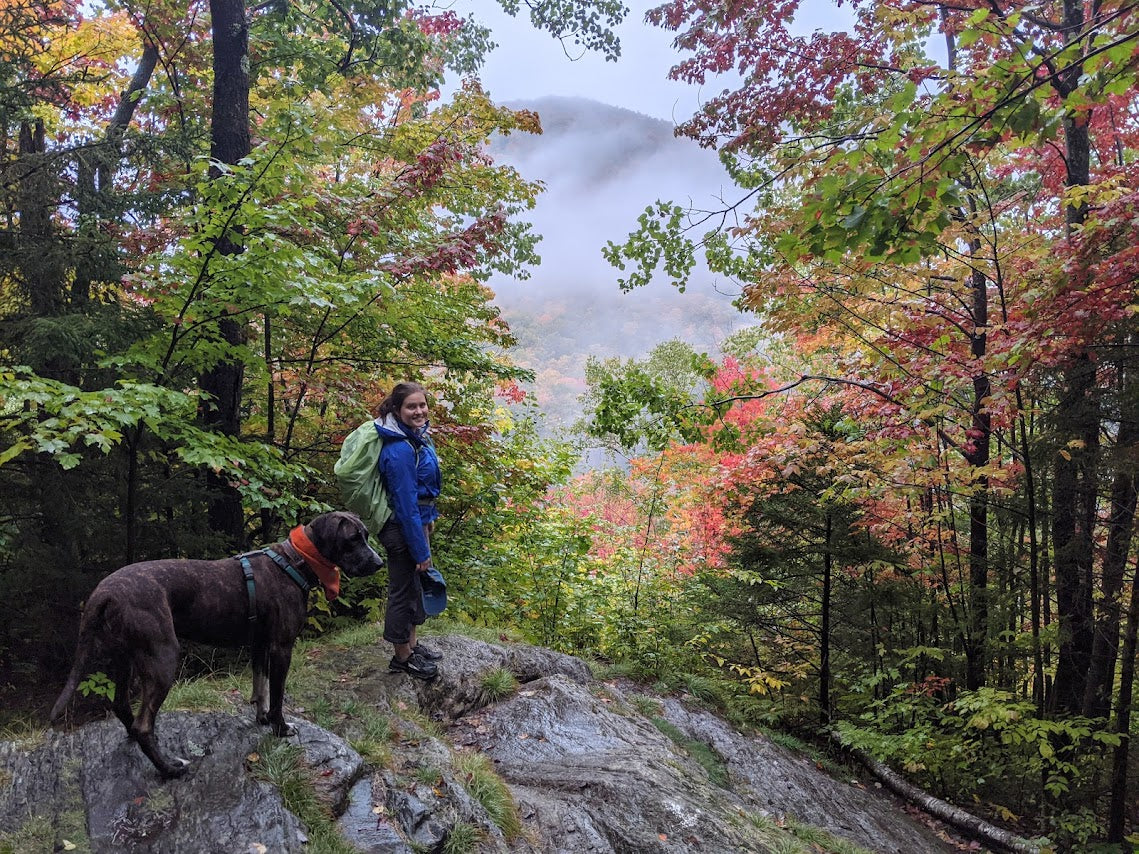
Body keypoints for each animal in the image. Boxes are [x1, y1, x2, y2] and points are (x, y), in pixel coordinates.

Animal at [48, 512, 382, 778]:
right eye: (353, 539)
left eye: (366, 535)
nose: (379, 562)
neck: (295, 559)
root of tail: (105, 590)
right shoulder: (281, 646)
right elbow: (277, 694)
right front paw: (279, 727)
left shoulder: (260, 644)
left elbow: (260, 687)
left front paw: (261, 718)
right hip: (163, 658)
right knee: (145, 724)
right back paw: (169, 769)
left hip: (125, 656)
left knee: (121, 705)